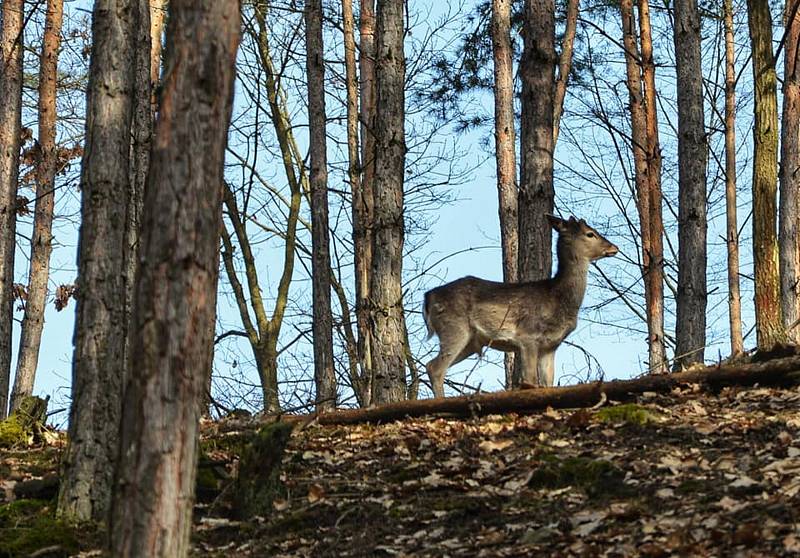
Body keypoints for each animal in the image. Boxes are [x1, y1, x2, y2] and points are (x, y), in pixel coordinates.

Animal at [424, 214, 620, 398]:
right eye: (590, 233)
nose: (614, 247)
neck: (557, 298)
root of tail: (428, 297)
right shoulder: (527, 336)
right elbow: (530, 381)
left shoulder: (550, 346)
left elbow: (548, 384)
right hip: (454, 328)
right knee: (435, 367)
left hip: (470, 342)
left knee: (431, 365)